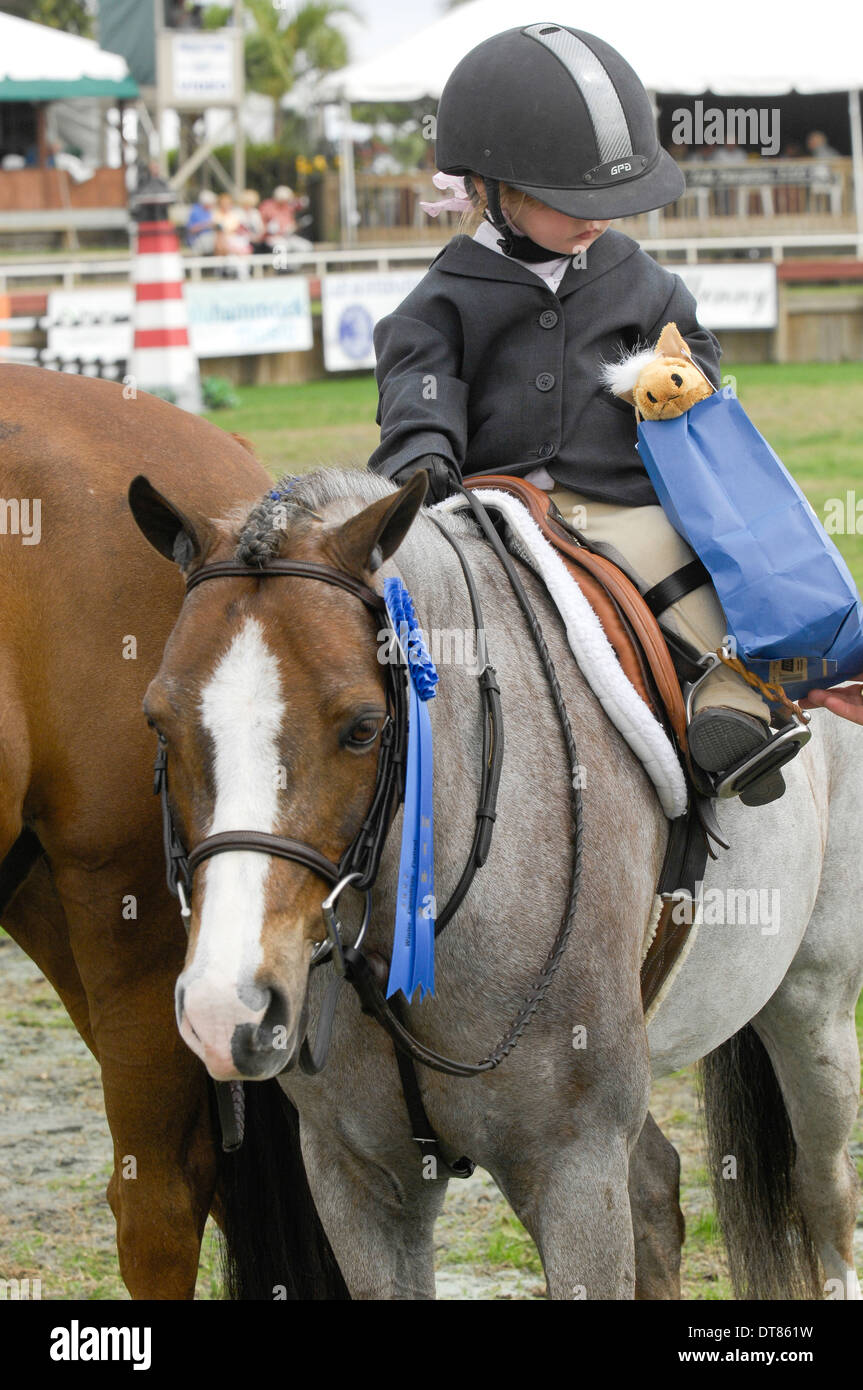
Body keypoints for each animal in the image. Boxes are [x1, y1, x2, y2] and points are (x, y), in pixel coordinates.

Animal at [129, 463, 863, 1300]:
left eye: (363, 728)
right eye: (158, 723)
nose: (226, 1009)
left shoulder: (574, 1170)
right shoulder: (357, 1181)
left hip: (811, 1010)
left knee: (823, 1192)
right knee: (656, 1188)